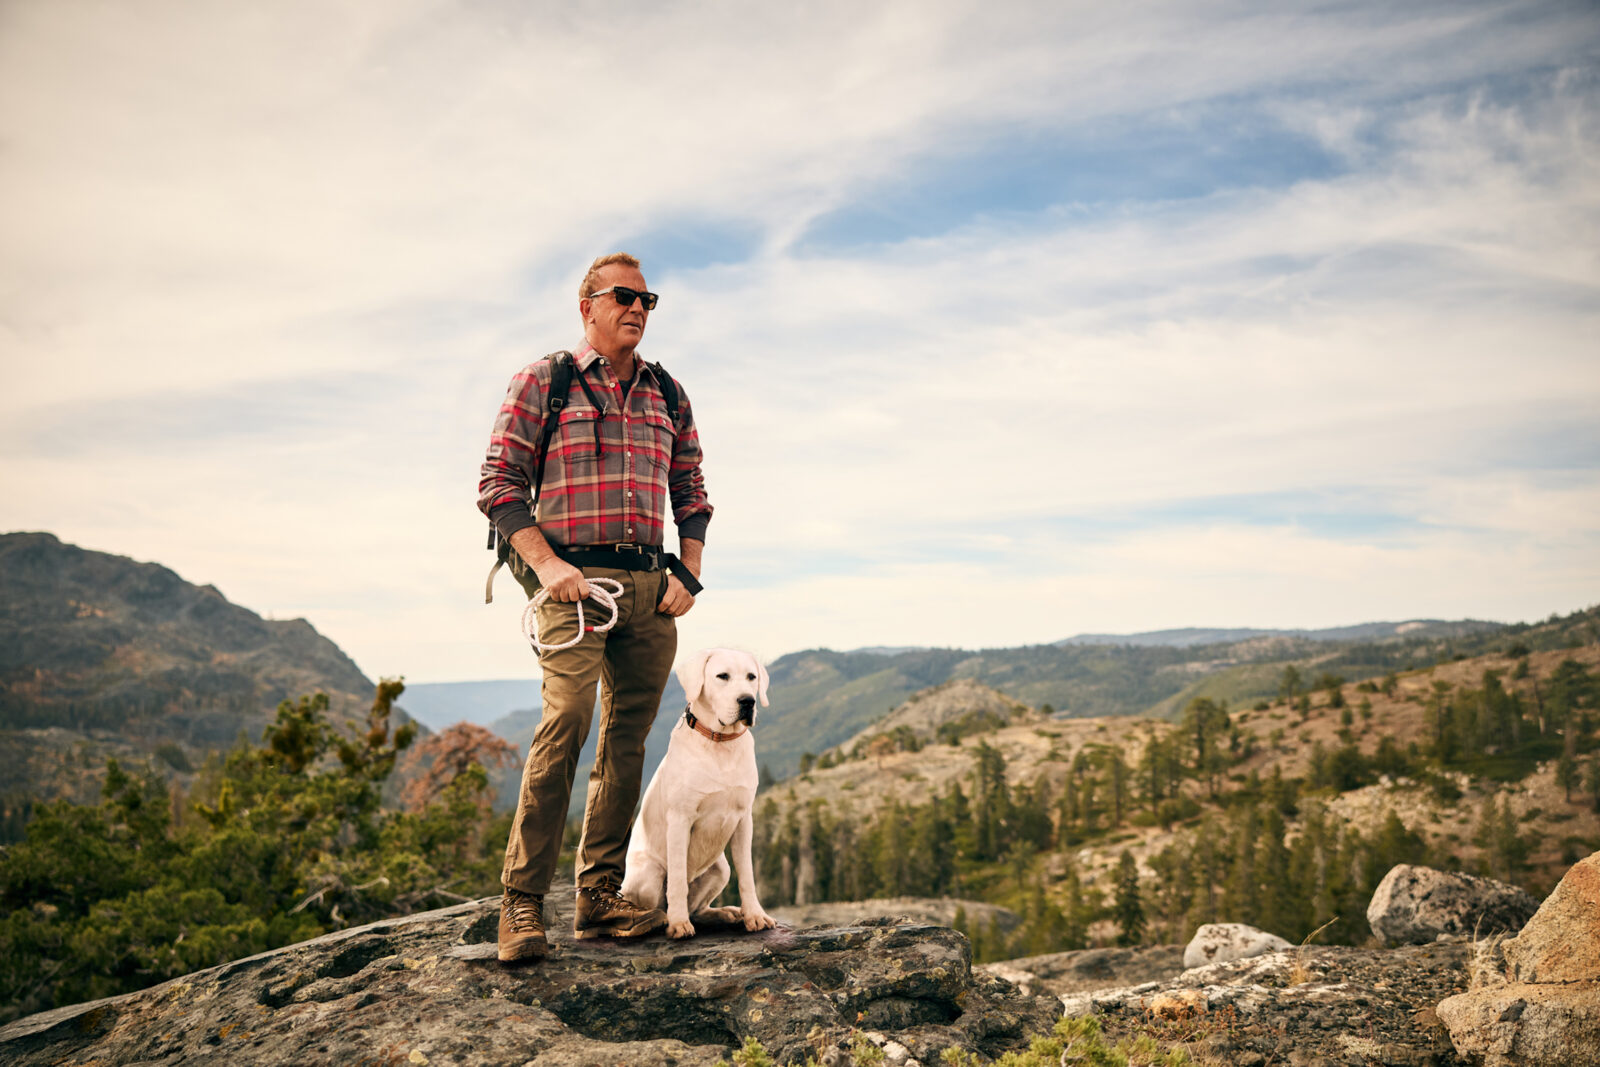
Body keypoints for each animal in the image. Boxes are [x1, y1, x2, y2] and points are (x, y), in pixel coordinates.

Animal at [620, 646, 777, 940]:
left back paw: (727, 913)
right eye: (722, 676)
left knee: (699, 909)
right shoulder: (681, 819)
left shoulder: (743, 819)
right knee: (661, 903)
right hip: (650, 873)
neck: (720, 744)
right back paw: (661, 919)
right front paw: (678, 923)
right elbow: (678, 881)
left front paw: (754, 915)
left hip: (720, 868)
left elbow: (747, 876)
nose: (748, 701)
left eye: (751, 677)